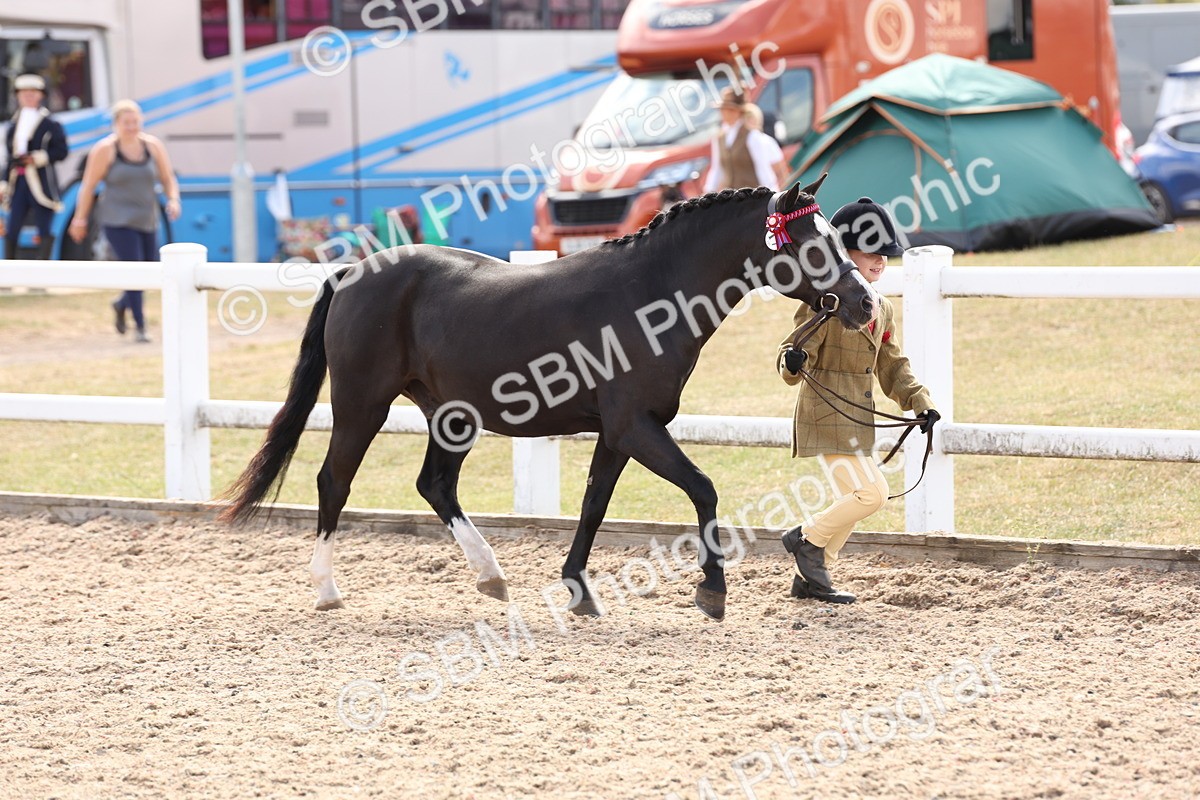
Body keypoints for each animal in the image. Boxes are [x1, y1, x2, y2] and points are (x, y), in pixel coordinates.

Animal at [219, 177, 876, 620]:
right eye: (812, 245)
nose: (866, 303)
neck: (650, 295)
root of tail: (353, 272)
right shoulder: (636, 427)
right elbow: (703, 488)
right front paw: (711, 590)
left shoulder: (617, 433)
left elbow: (593, 505)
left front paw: (579, 591)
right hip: (362, 404)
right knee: (334, 481)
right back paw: (328, 590)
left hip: (452, 418)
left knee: (435, 485)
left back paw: (491, 577)